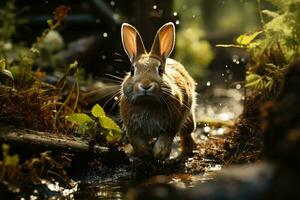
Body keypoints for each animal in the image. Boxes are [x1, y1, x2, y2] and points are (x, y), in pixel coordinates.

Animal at [119, 21, 197, 160]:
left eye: (160, 70)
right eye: (132, 70)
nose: (145, 85)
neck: (147, 102)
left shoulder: (172, 124)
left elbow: (166, 137)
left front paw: (159, 153)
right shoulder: (131, 129)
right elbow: (136, 141)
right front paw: (144, 152)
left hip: (189, 117)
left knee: (187, 132)